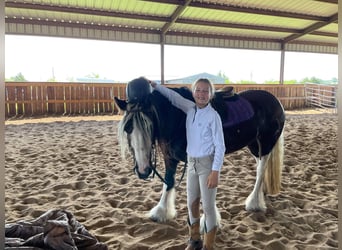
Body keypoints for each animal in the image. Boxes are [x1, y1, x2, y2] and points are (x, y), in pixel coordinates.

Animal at [115, 77, 286, 222]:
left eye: (149, 126)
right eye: (128, 128)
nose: (143, 171)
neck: (176, 117)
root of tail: (276, 101)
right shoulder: (169, 157)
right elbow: (169, 181)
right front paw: (161, 212)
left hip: (265, 144)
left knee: (261, 169)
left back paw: (254, 202)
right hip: (254, 146)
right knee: (260, 169)